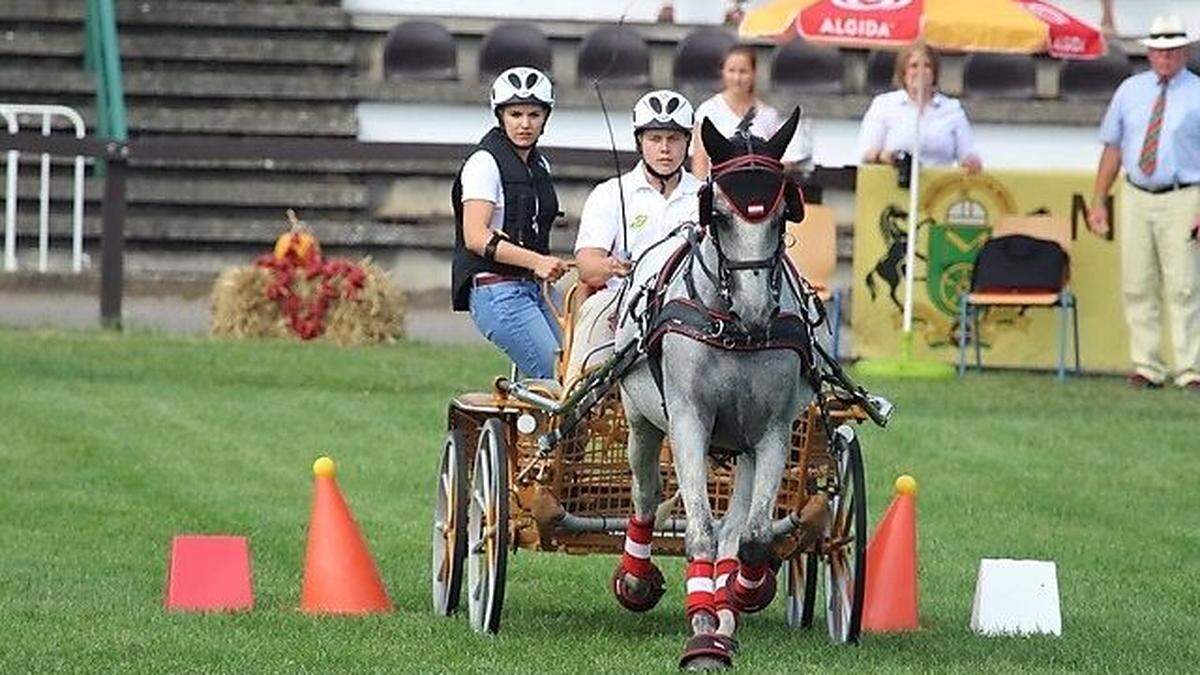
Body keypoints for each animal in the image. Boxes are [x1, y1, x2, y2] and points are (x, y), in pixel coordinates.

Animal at [609, 109, 816, 667]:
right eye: (718, 216)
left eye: (782, 217)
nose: (755, 310)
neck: (733, 331)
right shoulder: (688, 423)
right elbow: (699, 531)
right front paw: (701, 636)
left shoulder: (771, 433)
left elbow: (752, 536)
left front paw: (742, 594)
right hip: (641, 424)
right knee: (645, 495)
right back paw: (638, 579)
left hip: (742, 448)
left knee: (735, 528)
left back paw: (727, 607)